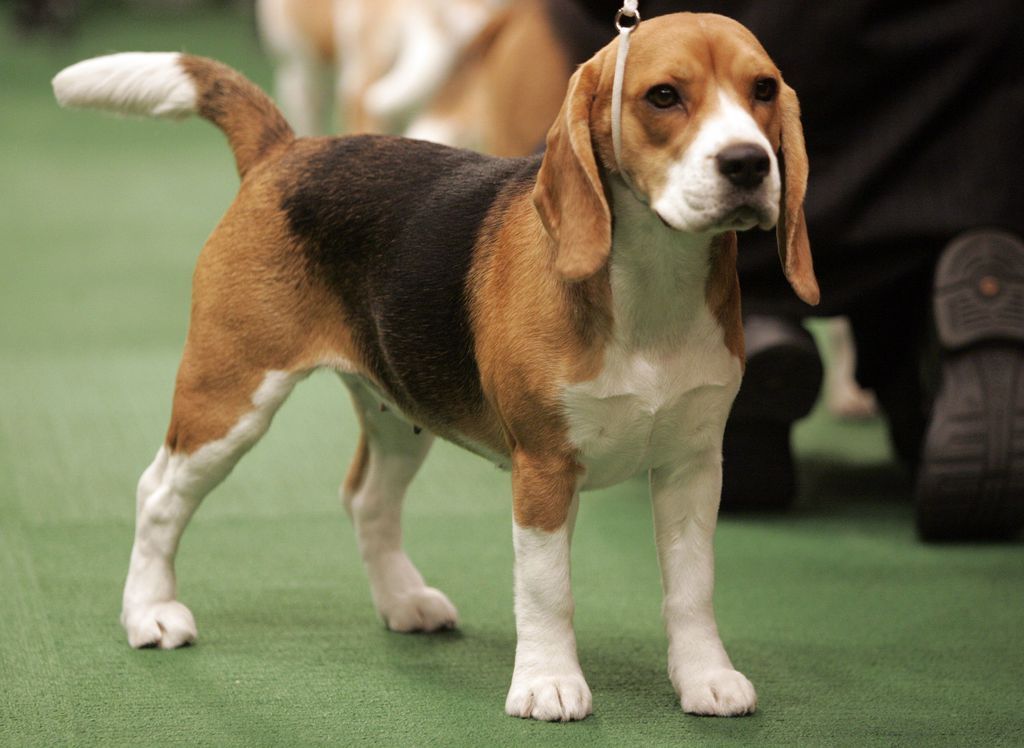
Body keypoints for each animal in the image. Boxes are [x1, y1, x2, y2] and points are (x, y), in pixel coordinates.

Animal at [54, 11, 815, 721]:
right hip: (231, 393)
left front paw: (706, 678)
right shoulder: (544, 469)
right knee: (158, 494)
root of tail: (288, 150)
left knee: (366, 499)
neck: (652, 281)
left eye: (763, 89)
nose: (748, 164)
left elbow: (692, 588)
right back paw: (150, 612)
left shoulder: (693, 465)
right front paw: (548, 683)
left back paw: (403, 601)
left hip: (398, 407)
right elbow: (548, 591)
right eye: (663, 96)